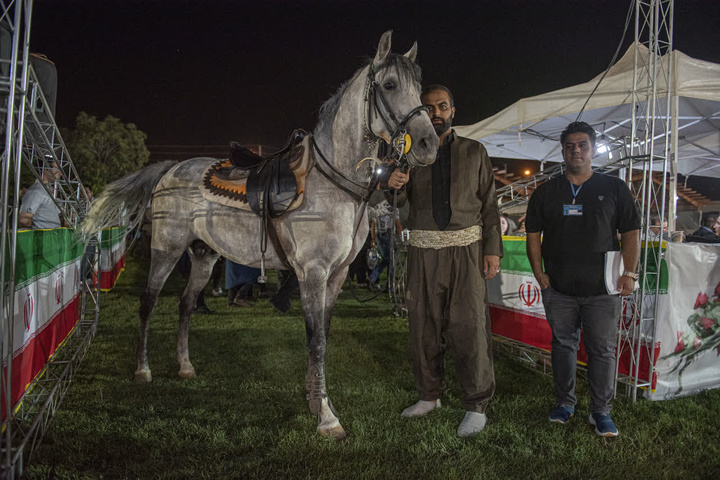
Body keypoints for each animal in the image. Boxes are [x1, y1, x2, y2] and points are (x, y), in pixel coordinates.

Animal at [81, 31, 436, 438]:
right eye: (390, 85)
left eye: (419, 87)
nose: (429, 144)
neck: (333, 185)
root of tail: (171, 168)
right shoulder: (312, 274)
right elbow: (316, 338)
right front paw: (325, 416)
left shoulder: (338, 274)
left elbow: (323, 333)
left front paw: (317, 399)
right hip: (166, 251)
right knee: (148, 303)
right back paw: (142, 370)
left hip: (204, 255)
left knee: (185, 304)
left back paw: (185, 365)